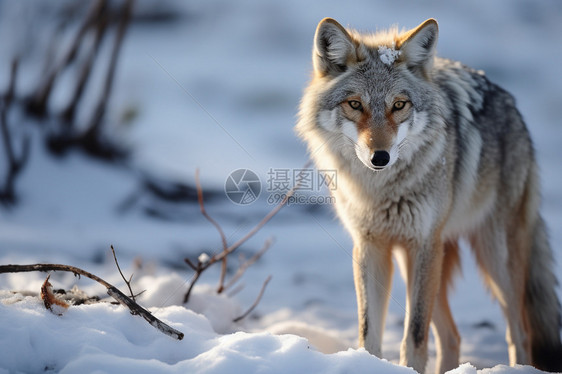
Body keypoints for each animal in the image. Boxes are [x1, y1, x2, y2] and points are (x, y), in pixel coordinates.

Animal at [296, 18, 556, 374]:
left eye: (399, 105)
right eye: (355, 104)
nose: (380, 157)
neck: (381, 191)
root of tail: (510, 103)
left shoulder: (422, 245)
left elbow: (415, 334)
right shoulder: (370, 247)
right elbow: (368, 331)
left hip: (491, 260)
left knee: (520, 332)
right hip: (427, 261)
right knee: (453, 336)